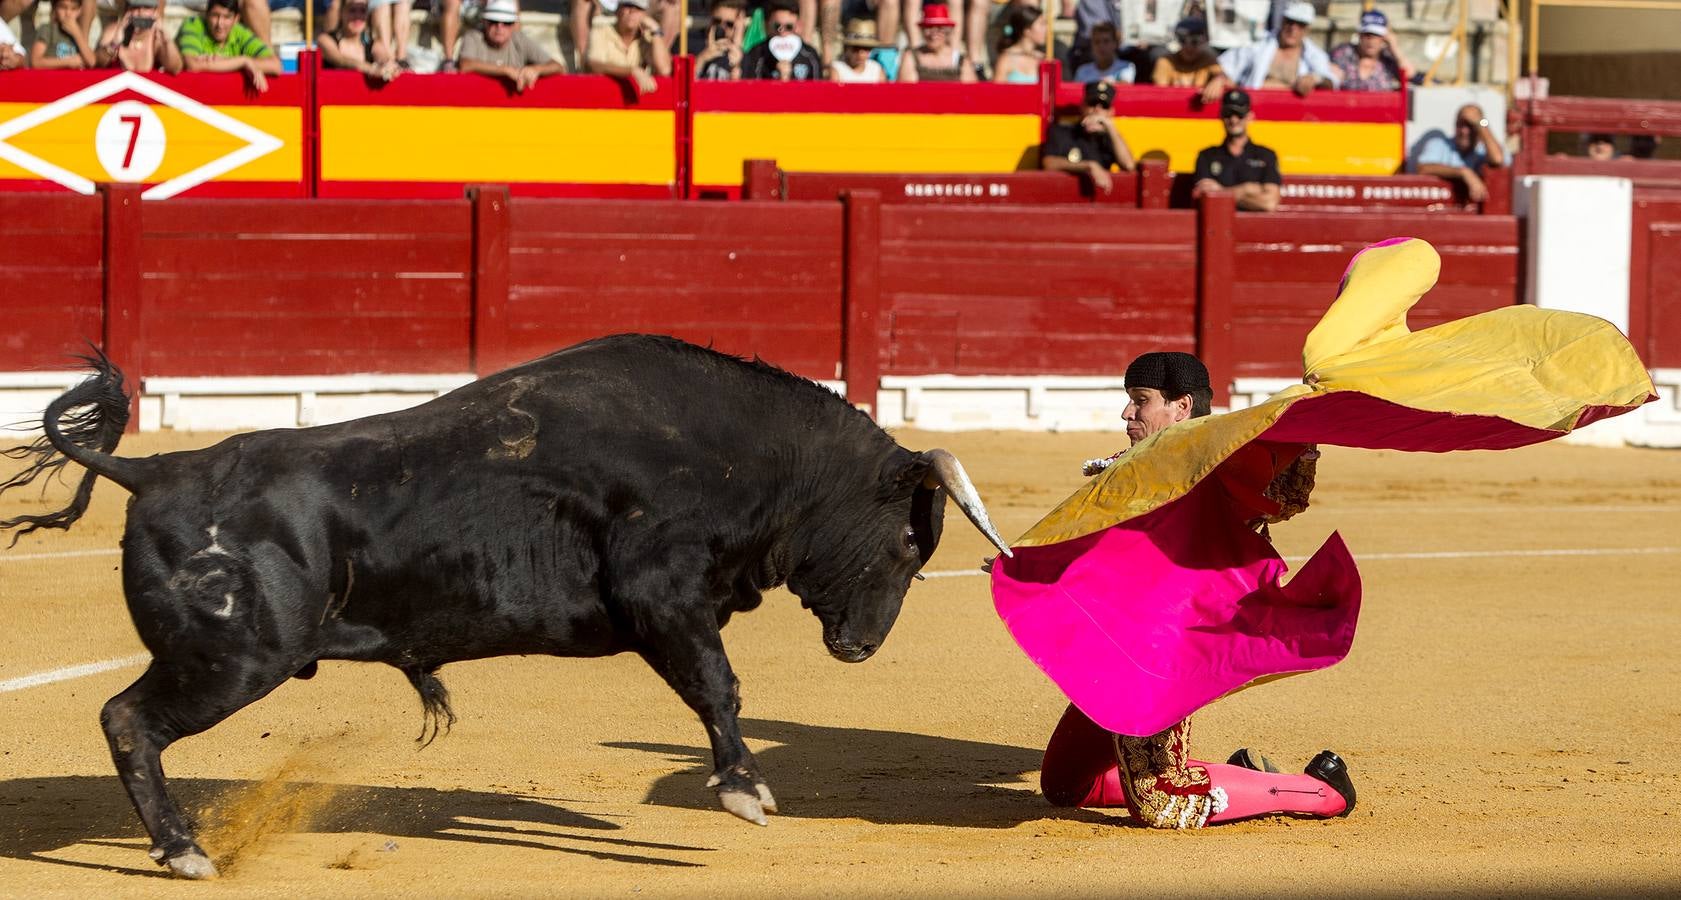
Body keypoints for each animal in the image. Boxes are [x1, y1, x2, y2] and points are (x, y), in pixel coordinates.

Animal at [0, 336, 1008, 881]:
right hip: (234, 659)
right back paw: (185, 851)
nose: (860, 646)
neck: (745, 453)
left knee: (130, 720)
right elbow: (717, 689)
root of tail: (152, 469)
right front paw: (743, 793)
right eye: (910, 544)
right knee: (128, 719)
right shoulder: (664, 595)